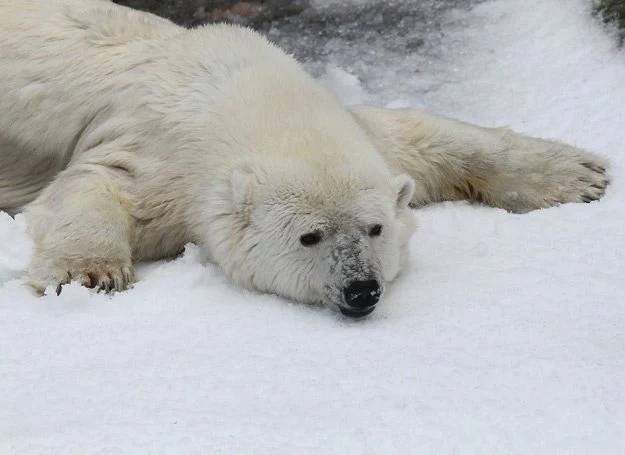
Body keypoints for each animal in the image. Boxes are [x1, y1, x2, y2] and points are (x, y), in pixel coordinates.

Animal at [0, 0, 604, 318]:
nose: (362, 290)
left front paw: (580, 174)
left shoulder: (358, 136)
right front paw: (89, 275)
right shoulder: (157, 152)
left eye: (375, 228)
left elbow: (418, 135)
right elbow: (94, 187)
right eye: (309, 236)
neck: (245, 97)